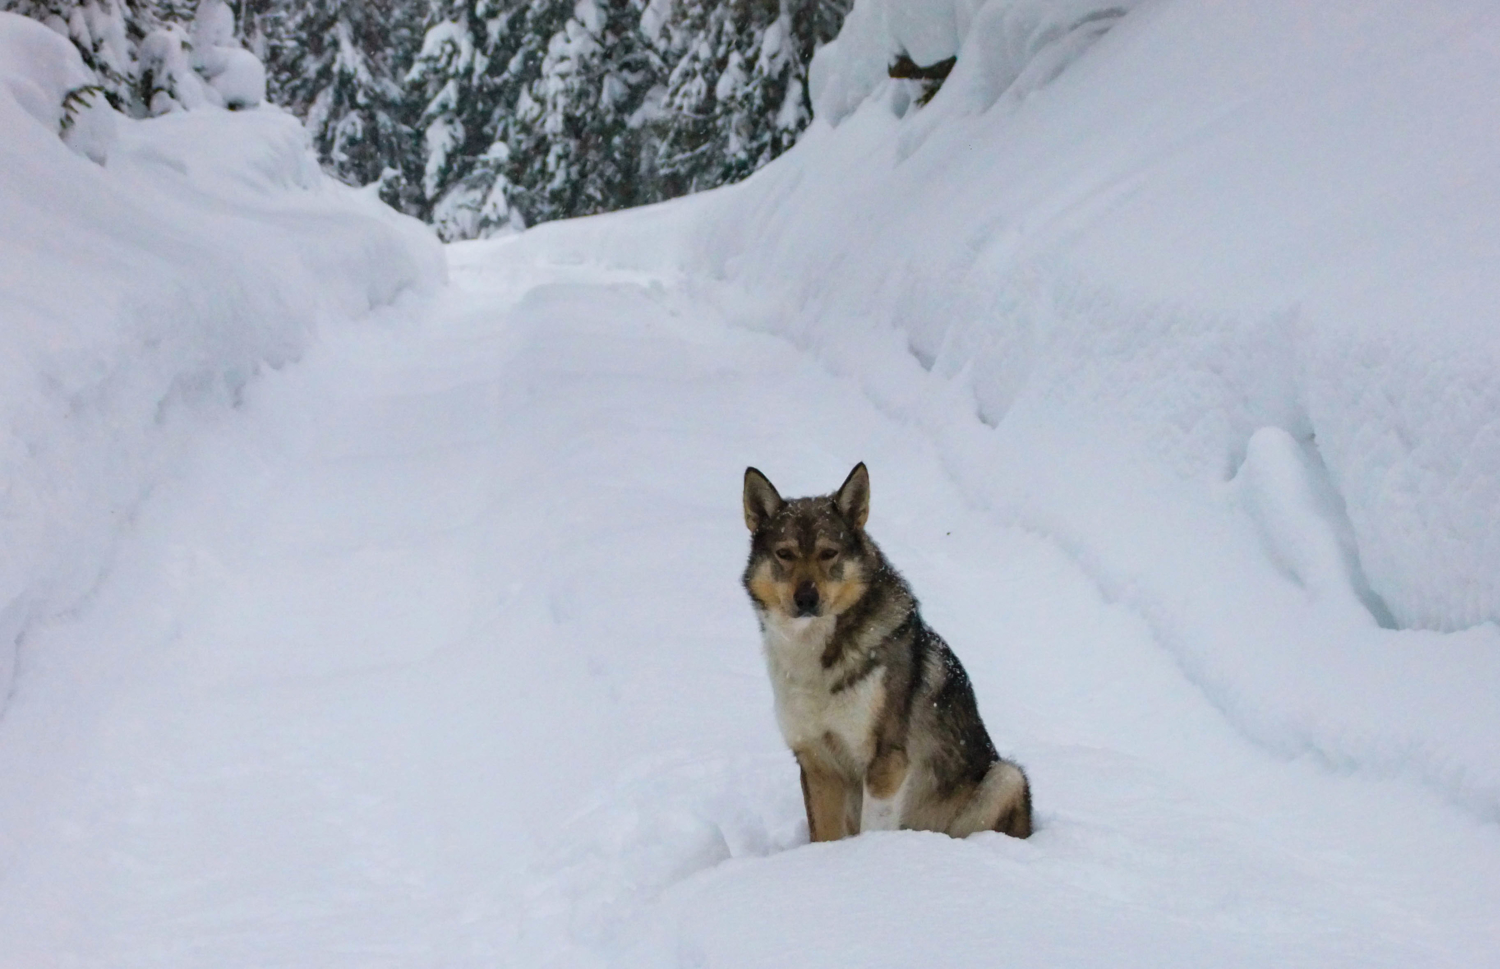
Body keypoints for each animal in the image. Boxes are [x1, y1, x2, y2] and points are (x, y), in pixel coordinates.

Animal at [741, 462, 1032, 840]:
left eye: (828, 553)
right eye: (785, 554)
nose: (806, 599)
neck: (816, 653)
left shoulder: (885, 761)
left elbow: (873, 830)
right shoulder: (816, 762)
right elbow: (823, 836)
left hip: (1006, 778)